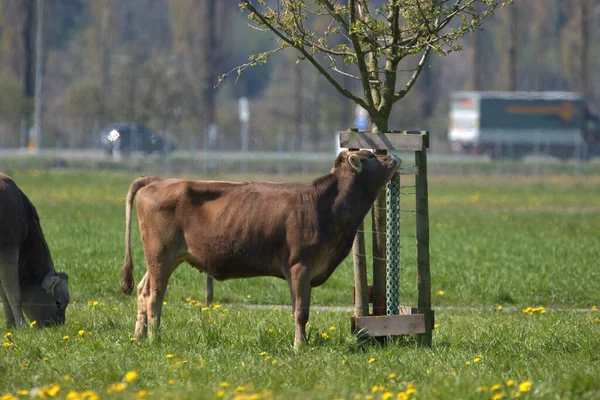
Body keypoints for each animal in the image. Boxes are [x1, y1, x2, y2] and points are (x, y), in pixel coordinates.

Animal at [0, 173, 70, 328]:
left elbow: (4, 294)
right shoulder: (8, 252)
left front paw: (10, 325)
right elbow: (14, 295)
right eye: (58, 302)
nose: (58, 326)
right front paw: (21, 325)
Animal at [119, 150, 400, 346]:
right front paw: (300, 345)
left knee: (144, 291)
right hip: (160, 255)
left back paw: (139, 336)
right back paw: (155, 338)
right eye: (371, 155)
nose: (394, 157)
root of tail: (158, 180)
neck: (325, 204)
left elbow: (297, 309)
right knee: (155, 297)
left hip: (165, 257)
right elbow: (301, 311)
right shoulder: (300, 267)